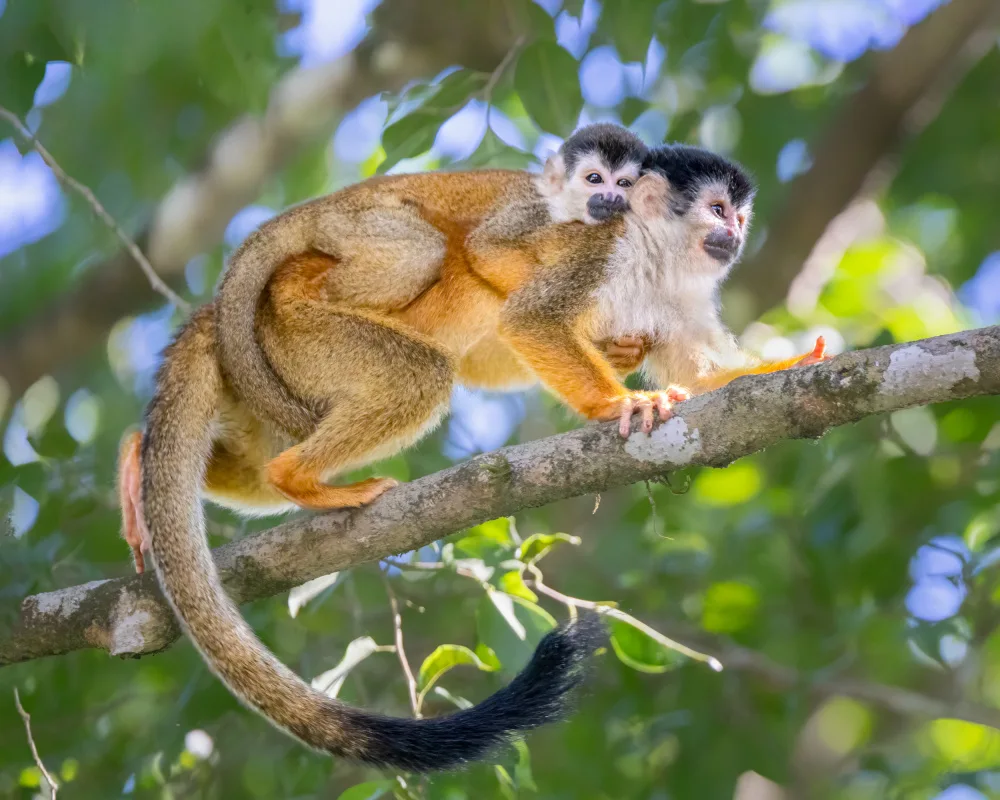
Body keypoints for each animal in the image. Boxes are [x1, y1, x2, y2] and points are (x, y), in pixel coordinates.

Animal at [117, 140, 828, 771]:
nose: (733, 235)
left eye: (739, 216)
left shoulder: (680, 299)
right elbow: (529, 319)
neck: (654, 258)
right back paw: (298, 477)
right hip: (301, 329)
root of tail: (222, 310)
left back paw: (143, 457)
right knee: (419, 373)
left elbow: (705, 380)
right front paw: (616, 403)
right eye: (717, 210)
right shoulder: (595, 249)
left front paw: (790, 366)